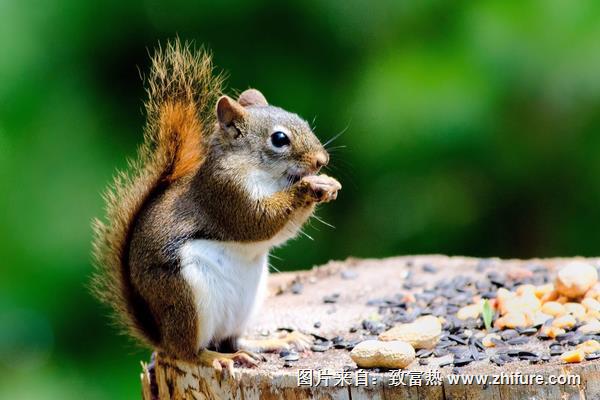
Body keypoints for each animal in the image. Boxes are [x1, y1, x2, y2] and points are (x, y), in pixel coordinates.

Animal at [91, 40, 340, 372]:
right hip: (186, 298)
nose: (321, 161)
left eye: (302, 121)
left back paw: (273, 342)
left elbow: (281, 231)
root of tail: (161, 335)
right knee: (189, 352)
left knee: (233, 339)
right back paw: (218, 358)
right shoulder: (225, 193)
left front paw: (327, 184)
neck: (266, 174)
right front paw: (309, 187)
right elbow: (257, 222)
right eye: (279, 139)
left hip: (245, 303)